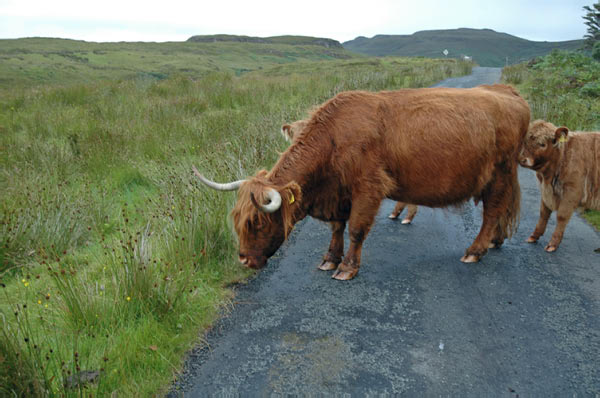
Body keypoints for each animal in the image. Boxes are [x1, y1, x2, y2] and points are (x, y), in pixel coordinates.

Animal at [197, 84, 528, 280]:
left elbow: (356, 229)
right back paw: (495, 241)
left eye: (258, 222)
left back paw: (475, 250)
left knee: (493, 210)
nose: (243, 261)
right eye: (237, 219)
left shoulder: (368, 188)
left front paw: (347, 268)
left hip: (499, 173)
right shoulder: (338, 193)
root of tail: (507, 91)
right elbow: (336, 228)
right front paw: (330, 259)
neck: (333, 139)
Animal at [516, 119, 596, 252]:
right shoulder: (546, 191)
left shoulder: (572, 191)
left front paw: (553, 244)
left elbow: (562, 216)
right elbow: (544, 213)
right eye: (525, 141)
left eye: (542, 144)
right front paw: (534, 236)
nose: (522, 159)